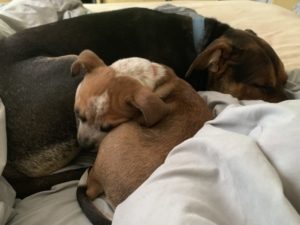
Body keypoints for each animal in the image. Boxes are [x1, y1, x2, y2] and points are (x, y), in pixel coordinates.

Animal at [0, 7, 288, 197]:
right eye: (262, 86)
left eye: (286, 80)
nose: (290, 100)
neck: (200, 42)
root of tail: (8, 169)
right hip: (72, 70)